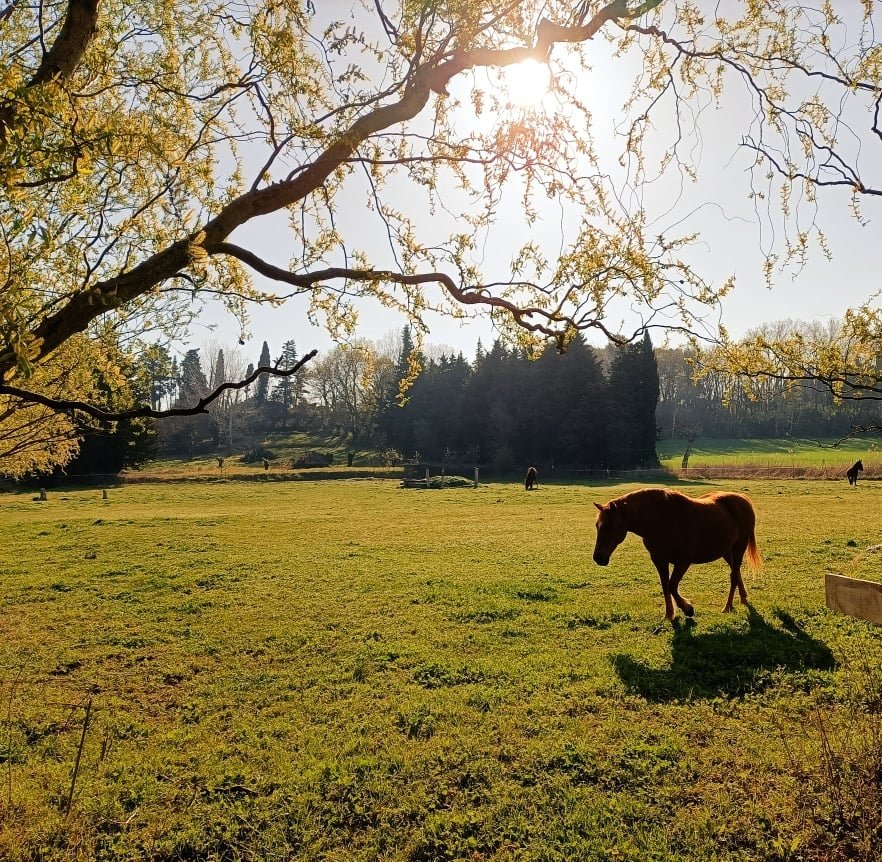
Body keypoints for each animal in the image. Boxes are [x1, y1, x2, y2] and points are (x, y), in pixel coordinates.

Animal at [592, 488, 761, 622]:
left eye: (608, 526)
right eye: (597, 525)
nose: (598, 558)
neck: (661, 520)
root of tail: (742, 498)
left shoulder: (683, 562)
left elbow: (672, 586)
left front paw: (688, 609)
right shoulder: (659, 561)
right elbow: (665, 586)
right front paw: (669, 615)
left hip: (739, 547)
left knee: (733, 576)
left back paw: (727, 607)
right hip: (727, 552)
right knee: (736, 573)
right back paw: (743, 598)